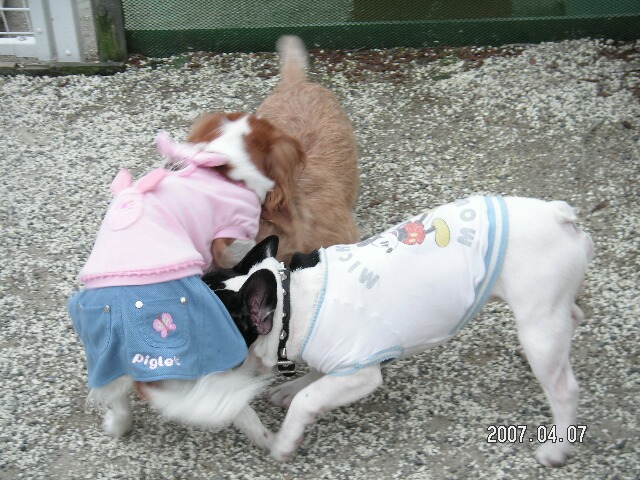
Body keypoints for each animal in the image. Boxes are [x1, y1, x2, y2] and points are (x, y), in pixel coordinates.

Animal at [203, 196, 594, 467]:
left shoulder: (360, 373)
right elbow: (317, 377)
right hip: (547, 311)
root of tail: (559, 215)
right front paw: (292, 387)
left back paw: (556, 449)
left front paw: (285, 440)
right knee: (572, 316)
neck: (291, 304)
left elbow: (309, 398)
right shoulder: (337, 361)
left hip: (538, 321)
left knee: (564, 390)